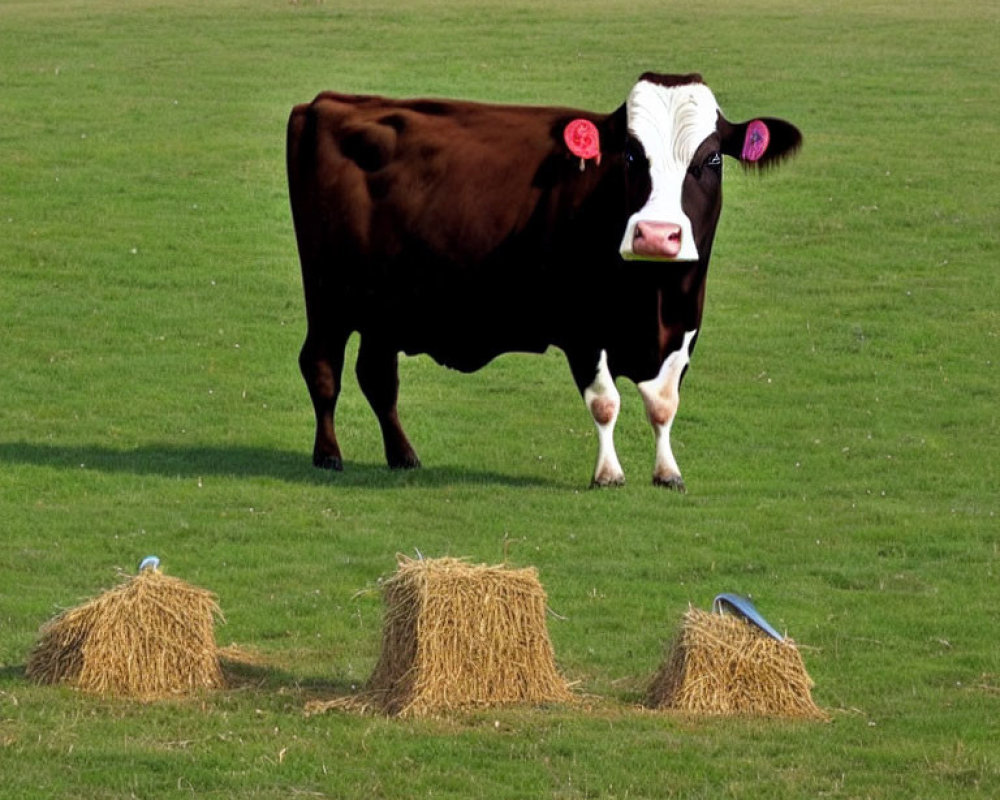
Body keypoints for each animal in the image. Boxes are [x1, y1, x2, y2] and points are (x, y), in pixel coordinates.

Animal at [286, 73, 800, 488]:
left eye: (711, 159)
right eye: (631, 155)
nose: (656, 235)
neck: (653, 296)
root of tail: (326, 103)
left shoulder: (684, 328)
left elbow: (663, 404)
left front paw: (668, 472)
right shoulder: (584, 330)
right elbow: (605, 402)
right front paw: (608, 474)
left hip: (385, 309)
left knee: (377, 376)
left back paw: (403, 455)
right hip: (328, 297)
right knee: (322, 367)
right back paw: (328, 454)